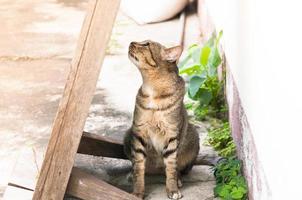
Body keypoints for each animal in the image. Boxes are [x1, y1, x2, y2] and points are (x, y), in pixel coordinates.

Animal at [124, 39, 199, 199]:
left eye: (146, 44)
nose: (131, 42)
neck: (152, 89)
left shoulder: (171, 136)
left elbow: (171, 167)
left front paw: (172, 189)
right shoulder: (139, 132)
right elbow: (138, 166)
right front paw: (137, 192)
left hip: (193, 137)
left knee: (178, 168)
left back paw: (178, 180)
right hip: (128, 135)